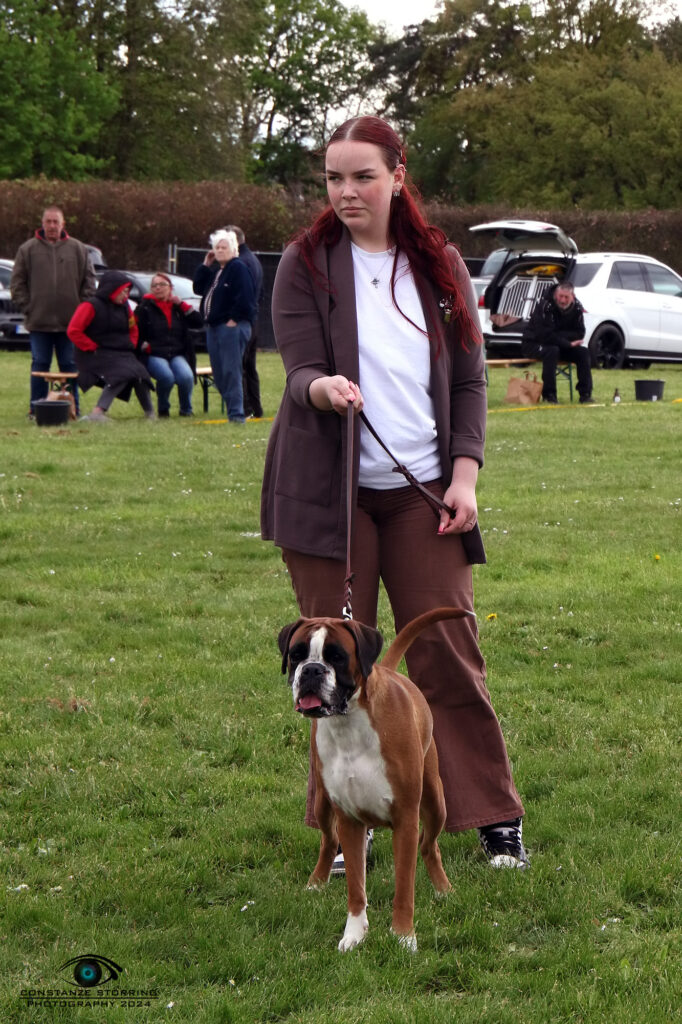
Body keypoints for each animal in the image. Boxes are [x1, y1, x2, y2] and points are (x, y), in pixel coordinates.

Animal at [278, 606, 473, 950]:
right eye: (296, 654)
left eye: (337, 656)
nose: (312, 670)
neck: (349, 723)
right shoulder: (350, 822)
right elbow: (356, 886)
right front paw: (354, 936)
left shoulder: (406, 820)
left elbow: (404, 887)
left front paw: (404, 937)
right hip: (321, 804)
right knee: (328, 841)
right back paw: (317, 882)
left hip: (436, 803)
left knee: (429, 847)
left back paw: (443, 890)